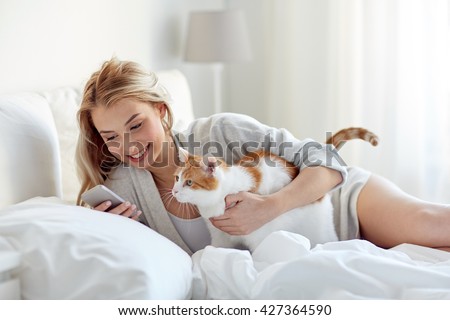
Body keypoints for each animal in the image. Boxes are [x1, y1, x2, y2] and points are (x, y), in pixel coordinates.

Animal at [171, 126, 376, 251]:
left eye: (189, 183)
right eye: (177, 178)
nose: (173, 191)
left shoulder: (260, 239)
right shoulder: (220, 238)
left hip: (320, 231)